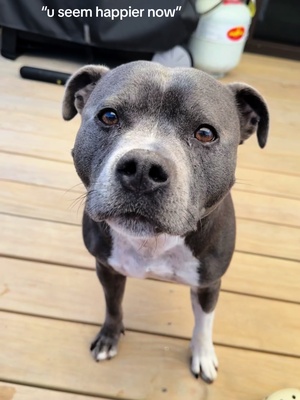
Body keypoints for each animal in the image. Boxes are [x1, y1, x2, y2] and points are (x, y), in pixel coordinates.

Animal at [62, 61, 268, 382]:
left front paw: (203, 354)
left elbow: (204, 322)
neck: (153, 244)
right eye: (108, 116)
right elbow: (113, 306)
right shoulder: (107, 268)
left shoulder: (209, 283)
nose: (143, 169)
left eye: (205, 133)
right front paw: (110, 336)